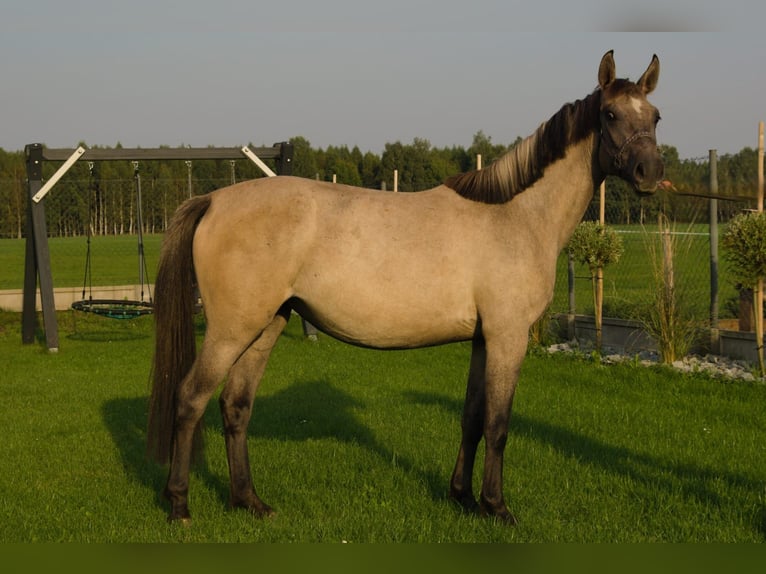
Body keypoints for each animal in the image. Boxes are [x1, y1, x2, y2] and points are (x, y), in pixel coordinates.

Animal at [148, 50, 664, 528]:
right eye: (610, 114)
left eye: (656, 116)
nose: (651, 173)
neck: (514, 214)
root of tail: (213, 199)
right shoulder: (508, 337)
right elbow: (498, 424)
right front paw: (496, 507)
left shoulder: (483, 340)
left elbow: (472, 418)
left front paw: (462, 497)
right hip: (231, 330)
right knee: (190, 399)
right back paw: (179, 505)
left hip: (265, 326)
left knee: (235, 406)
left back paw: (249, 502)